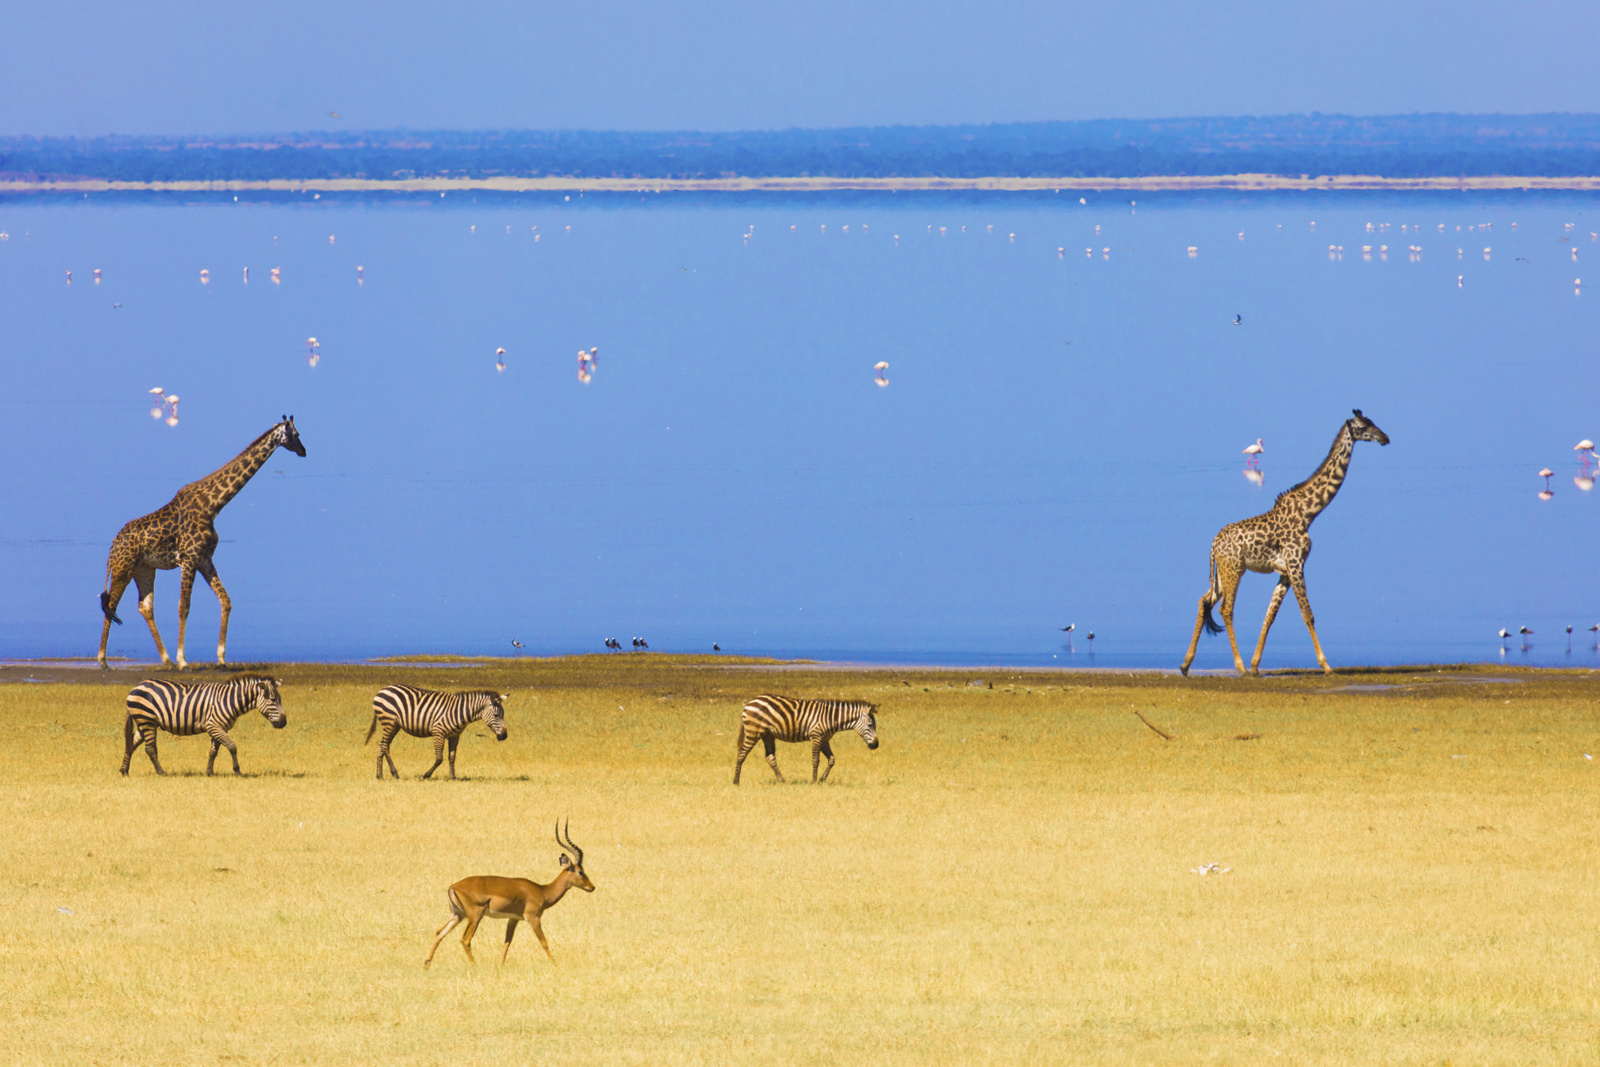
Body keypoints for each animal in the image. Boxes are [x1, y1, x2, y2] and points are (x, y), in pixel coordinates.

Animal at [97, 415, 305, 668]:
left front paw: (221, 658)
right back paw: (103, 660)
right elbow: (183, 607)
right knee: (111, 604)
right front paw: (184, 660)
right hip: (123, 568)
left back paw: (166, 660)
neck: (213, 505)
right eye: (296, 434)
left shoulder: (205, 559)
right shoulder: (189, 558)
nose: (304, 451)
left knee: (145, 607)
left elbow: (226, 601)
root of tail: (112, 546)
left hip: (144, 569)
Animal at [124, 675, 291, 777]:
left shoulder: (218, 727)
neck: (229, 701)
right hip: (147, 721)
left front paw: (209, 772)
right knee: (150, 748)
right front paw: (237, 771)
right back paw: (161, 772)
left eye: (279, 699)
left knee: (131, 744)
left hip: (143, 722)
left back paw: (124, 771)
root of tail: (136, 687)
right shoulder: (214, 726)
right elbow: (232, 747)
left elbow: (213, 751)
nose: (284, 722)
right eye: (273, 700)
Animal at [366, 687, 508, 780]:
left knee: (381, 746)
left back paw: (380, 775)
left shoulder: (455, 736)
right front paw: (426, 775)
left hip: (395, 725)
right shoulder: (438, 732)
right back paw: (394, 773)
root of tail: (383, 689)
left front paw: (453, 777)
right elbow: (439, 758)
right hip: (389, 722)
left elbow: (452, 757)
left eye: (504, 714)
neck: (460, 712)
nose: (504, 736)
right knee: (384, 746)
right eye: (496, 715)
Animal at [732, 694, 883, 783]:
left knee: (770, 757)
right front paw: (814, 781)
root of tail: (750, 702)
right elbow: (815, 760)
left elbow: (832, 760)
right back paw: (736, 781)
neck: (832, 719)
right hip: (753, 732)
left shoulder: (824, 740)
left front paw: (822, 780)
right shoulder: (816, 736)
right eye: (870, 724)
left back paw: (782, 781)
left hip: (767, 735)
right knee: (741, 754)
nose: (876, 745)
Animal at [1177, 409, 1388, 675]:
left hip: (1223, 574)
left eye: (1373, 421)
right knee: (1226, 609)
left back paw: (1186, 664)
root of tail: (1213, 546)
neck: (1308, 513)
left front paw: (1256, 665)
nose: (1385, 437)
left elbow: (1270, 615)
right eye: (1362, 426)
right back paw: (1239, 666)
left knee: (1203, 601)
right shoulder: (1296, 563)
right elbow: (1308, 614)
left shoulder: (1286, 570)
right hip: (1233, 571)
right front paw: (1326, 665)